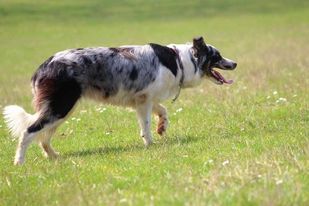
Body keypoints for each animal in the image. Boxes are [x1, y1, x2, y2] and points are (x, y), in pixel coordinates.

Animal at [2, 36, 236, 165]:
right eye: (217, 56)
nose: (234, 63)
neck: (180, 61)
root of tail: (44, 65)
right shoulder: (143, 100)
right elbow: (146, 126)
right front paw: (150, 144)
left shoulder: (144, 99)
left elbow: (162, 111)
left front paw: (162, 127)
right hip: (61, 106)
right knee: (29, 131)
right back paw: (19, 162)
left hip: (61, 110)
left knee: (43, 137)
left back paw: (54, 157)